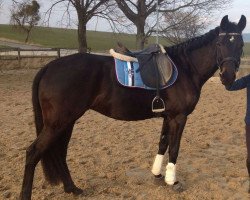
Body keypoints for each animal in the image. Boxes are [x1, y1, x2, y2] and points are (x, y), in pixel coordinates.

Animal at [19, 14, 246, 199]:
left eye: (241, 45)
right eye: (220, 43)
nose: (227, 77)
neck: (185, 67)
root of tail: (50, 67)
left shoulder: (168, 116)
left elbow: (163, 144)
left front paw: (157, 175)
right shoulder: (179, 117)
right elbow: (174, 148)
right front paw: (172, 181)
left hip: (67, 122)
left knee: (60, 153)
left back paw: (72, 189)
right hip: (58, 123)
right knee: (33, 153)